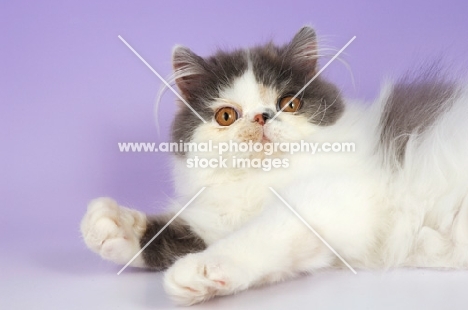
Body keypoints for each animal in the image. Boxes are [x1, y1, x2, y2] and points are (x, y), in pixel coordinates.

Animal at [80, 26, 468, 306]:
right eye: (227, 115)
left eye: (289, 103)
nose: (262, 117)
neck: (263, 180)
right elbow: (190, 232)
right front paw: (113, 225)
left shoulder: (338, 195)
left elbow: (264, 230)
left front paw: (199, 269)